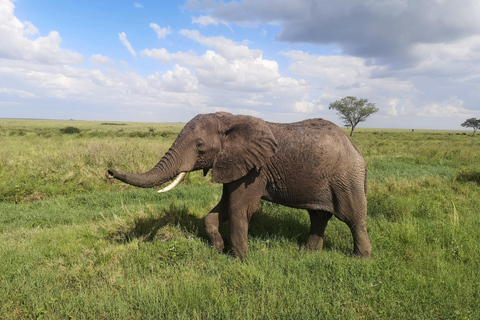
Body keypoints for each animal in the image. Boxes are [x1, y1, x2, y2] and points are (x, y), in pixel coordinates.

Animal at [107, 111, 374, 258]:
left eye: (200, 146)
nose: (109, 171)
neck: (230, 119)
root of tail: (357, 151)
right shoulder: (233, 165)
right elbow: (221, 209)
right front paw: (217, 249)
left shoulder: (254, 171)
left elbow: (239, 209)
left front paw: (238, 261)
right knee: (319, 216)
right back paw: (308, 254)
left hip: (346, 178)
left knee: (353, 219)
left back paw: (360, 259)